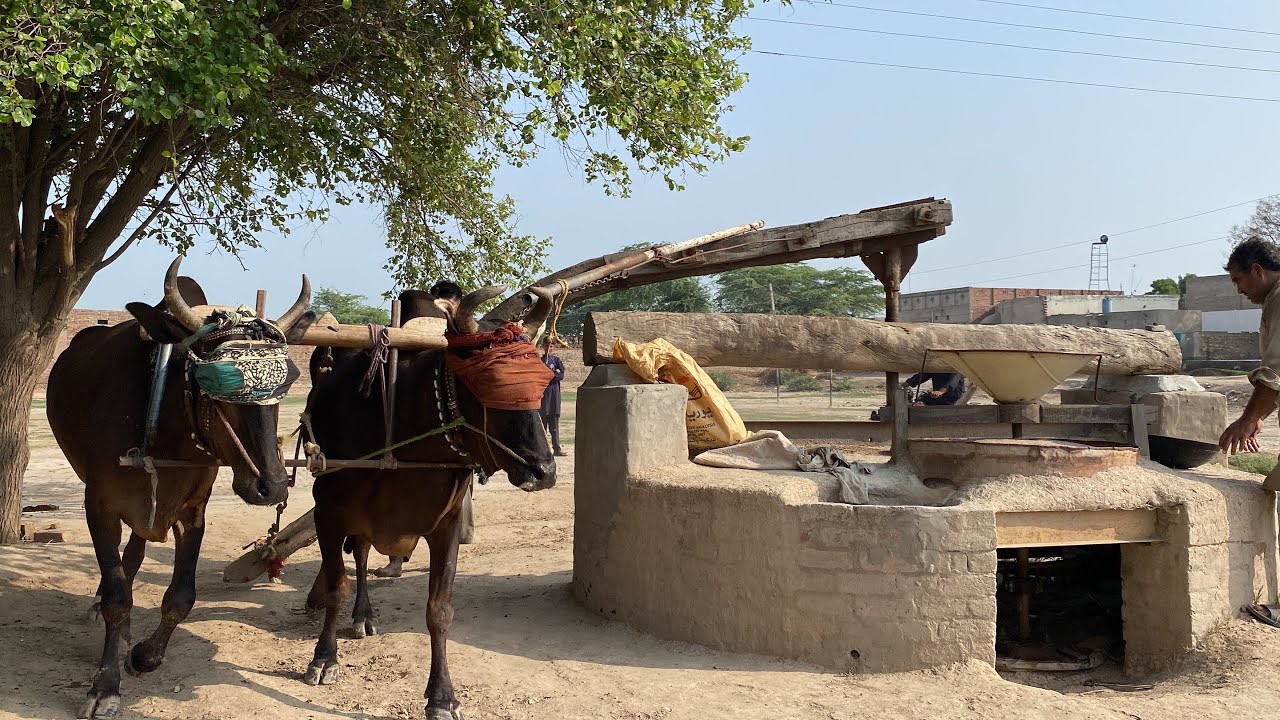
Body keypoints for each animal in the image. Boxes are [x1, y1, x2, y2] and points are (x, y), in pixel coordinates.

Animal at [46, 258, 312, 720]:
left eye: (286, 381)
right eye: (221, 382)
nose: (273, 486)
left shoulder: (192, 512)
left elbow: (181, 597)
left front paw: (144, 655)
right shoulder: (98, 506)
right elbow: (117, 595)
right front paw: (105, 684)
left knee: (135, 554)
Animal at [300, 284, 557, 720]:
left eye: (542, 382)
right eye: (489, 383)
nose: (544, 471)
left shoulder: (446, 527)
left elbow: (439, 611)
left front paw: (442, 697)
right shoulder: (328, 514)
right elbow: (336, 588)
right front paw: (323, 658)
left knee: (364, 554)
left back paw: (364, 616)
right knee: (360, 559)